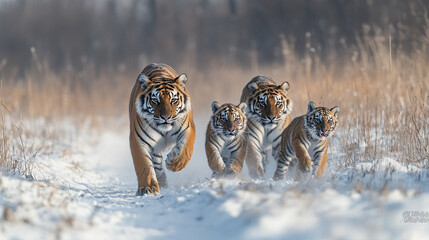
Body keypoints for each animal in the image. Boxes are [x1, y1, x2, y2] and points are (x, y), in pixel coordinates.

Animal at [127, 63, 194, 195]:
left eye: (173, 100)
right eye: (155, 101)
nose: (165, 117)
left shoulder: (188, 128)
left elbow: (186, 149)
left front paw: (175, 163)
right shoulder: (138, 140)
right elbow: (143, 165)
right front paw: (147, 188)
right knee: (157, 168)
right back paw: (162, 185)